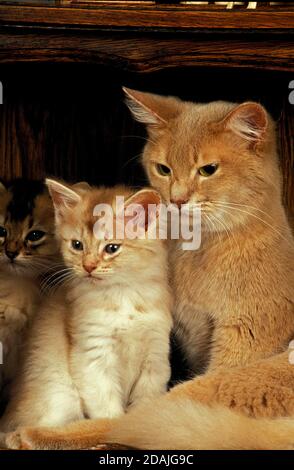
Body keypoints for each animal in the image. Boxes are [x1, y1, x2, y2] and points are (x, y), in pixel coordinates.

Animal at [0, 181, 172, 434]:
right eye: (77, 245)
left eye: (112, 248)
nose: (88, 266)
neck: (122, 295)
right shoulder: (93, 357)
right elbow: (107, 410)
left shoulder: (156, 356)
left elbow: (145, 404)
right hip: (60, 397)